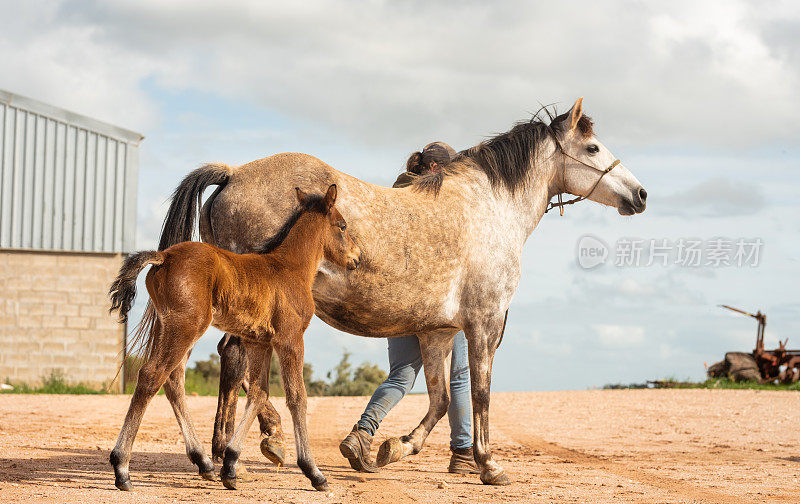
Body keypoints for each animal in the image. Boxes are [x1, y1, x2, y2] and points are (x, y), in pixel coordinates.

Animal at [107, 185, 362, 492]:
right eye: (342, 225)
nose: (357, 257)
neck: (289, 268)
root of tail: (164, 256)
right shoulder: (290, 339)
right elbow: (297, 397)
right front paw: (313, 472)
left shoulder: (259, 342)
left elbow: (259, 393)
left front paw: (230, 466)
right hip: (186, 327)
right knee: (152, 375)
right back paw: (122, 468)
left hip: (168, 327)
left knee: (173, 379)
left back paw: (204, 463)